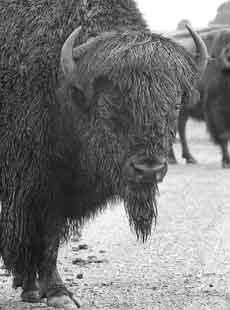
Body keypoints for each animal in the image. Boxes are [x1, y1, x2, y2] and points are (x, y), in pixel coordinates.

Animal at [0, 0, 208, 310]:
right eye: (109, 102)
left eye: (174, 105)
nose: (148, 169)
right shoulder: (35, 184)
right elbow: (37, 233)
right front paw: (54, 292)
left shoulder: (59, 188)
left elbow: (49, 237)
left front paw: (43, 289)